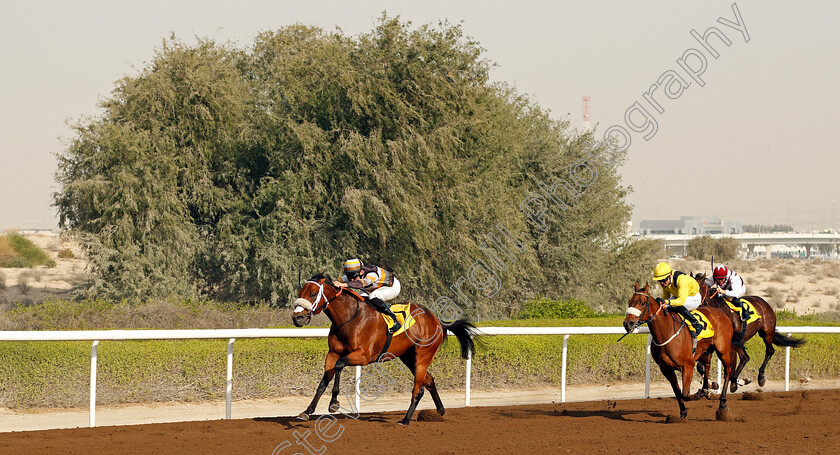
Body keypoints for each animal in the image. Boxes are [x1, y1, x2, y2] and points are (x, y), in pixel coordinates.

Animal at [290, 272, 476, 426]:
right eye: (300, 293)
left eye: (313, 294)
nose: (297, 318)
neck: (349, 318)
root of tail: (437, 320)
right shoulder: (333, 353)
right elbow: (323, 381)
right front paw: (307, 411)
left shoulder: (363, 356)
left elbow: (339, 365)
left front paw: (334, 403)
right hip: (408, 357)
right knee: (429, 381)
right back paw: (439, 411)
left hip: (423, 355)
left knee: (418, 388)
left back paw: (406, 420)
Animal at [624, 284, 736, 420]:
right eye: (629, 302)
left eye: (642, 302)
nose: (628, 323)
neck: (666, 332)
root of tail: (722, 313)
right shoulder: (666, 369)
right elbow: (678, 392)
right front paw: (683, 412)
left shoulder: (687, 365)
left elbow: (685, 394)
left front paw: (699, 394)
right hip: (704, 351)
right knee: (707, 364)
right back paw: (707, 388)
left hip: (723, 350)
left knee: (728, 371)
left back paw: (722, 404)